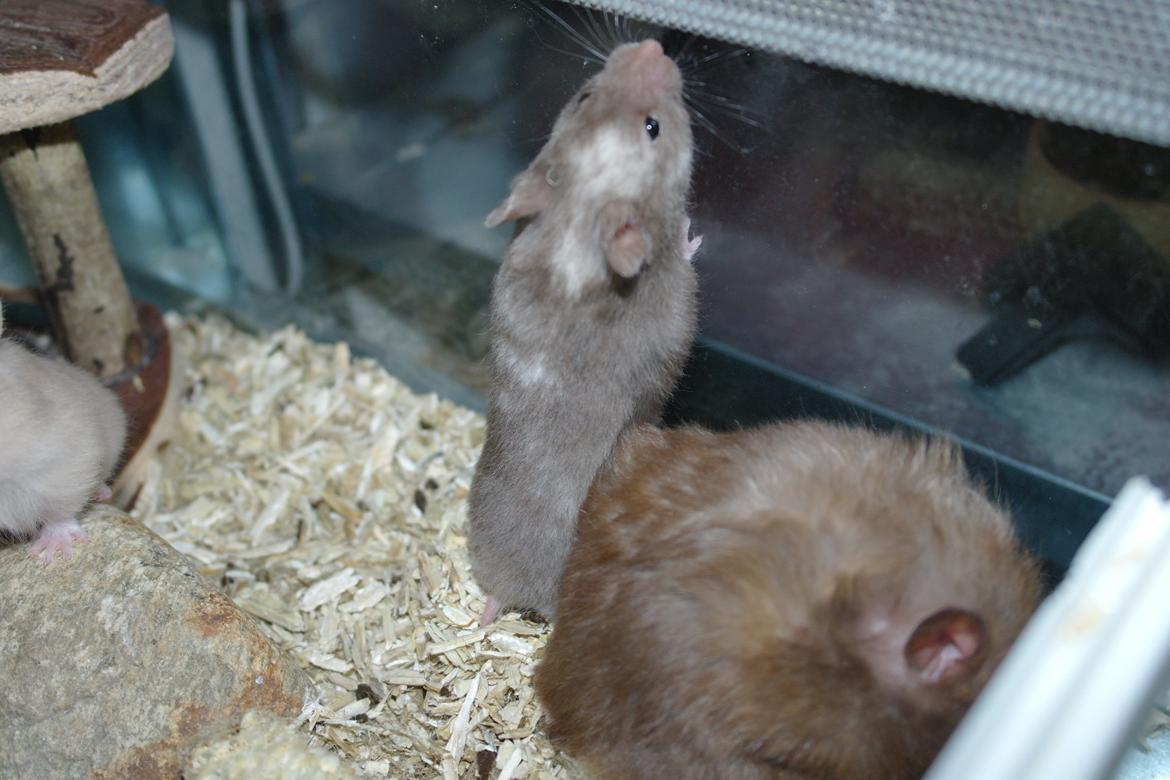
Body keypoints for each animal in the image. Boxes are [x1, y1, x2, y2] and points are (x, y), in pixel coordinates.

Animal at [468, 39, 700, 622]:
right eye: (652, 127)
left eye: (582, 94)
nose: (653, 45)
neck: (574, 227)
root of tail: (517, 592)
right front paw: (691, 232)